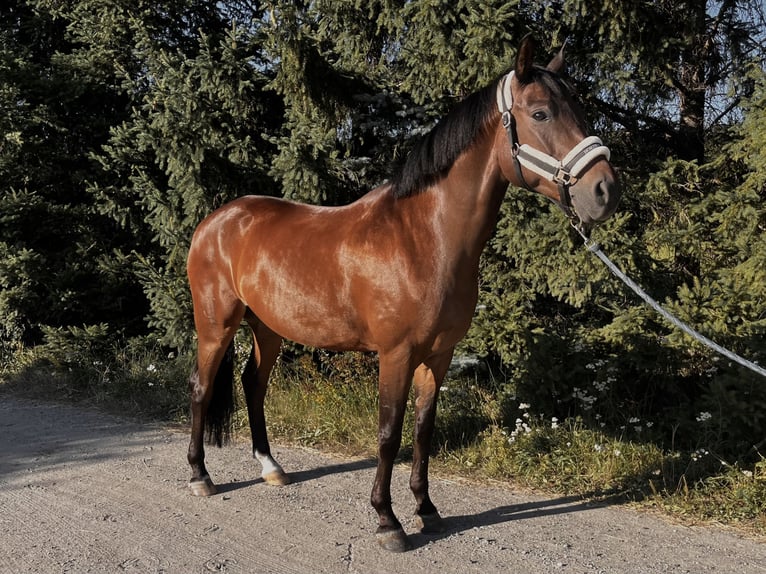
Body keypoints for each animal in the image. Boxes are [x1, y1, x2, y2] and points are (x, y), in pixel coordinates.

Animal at [188, 37, 624, 552]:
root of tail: (217, 220)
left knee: (253, 384)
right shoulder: (395, 353)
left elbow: (422, 432)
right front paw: (387, 521)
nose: (605, 190)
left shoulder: (438, 355)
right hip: (215, 325)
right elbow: (388, 433)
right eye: (540, 113)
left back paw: (272, 469)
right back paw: (199, 476)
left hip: (268, 328)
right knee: (201, 388)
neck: (423, 238)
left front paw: (427, 509)